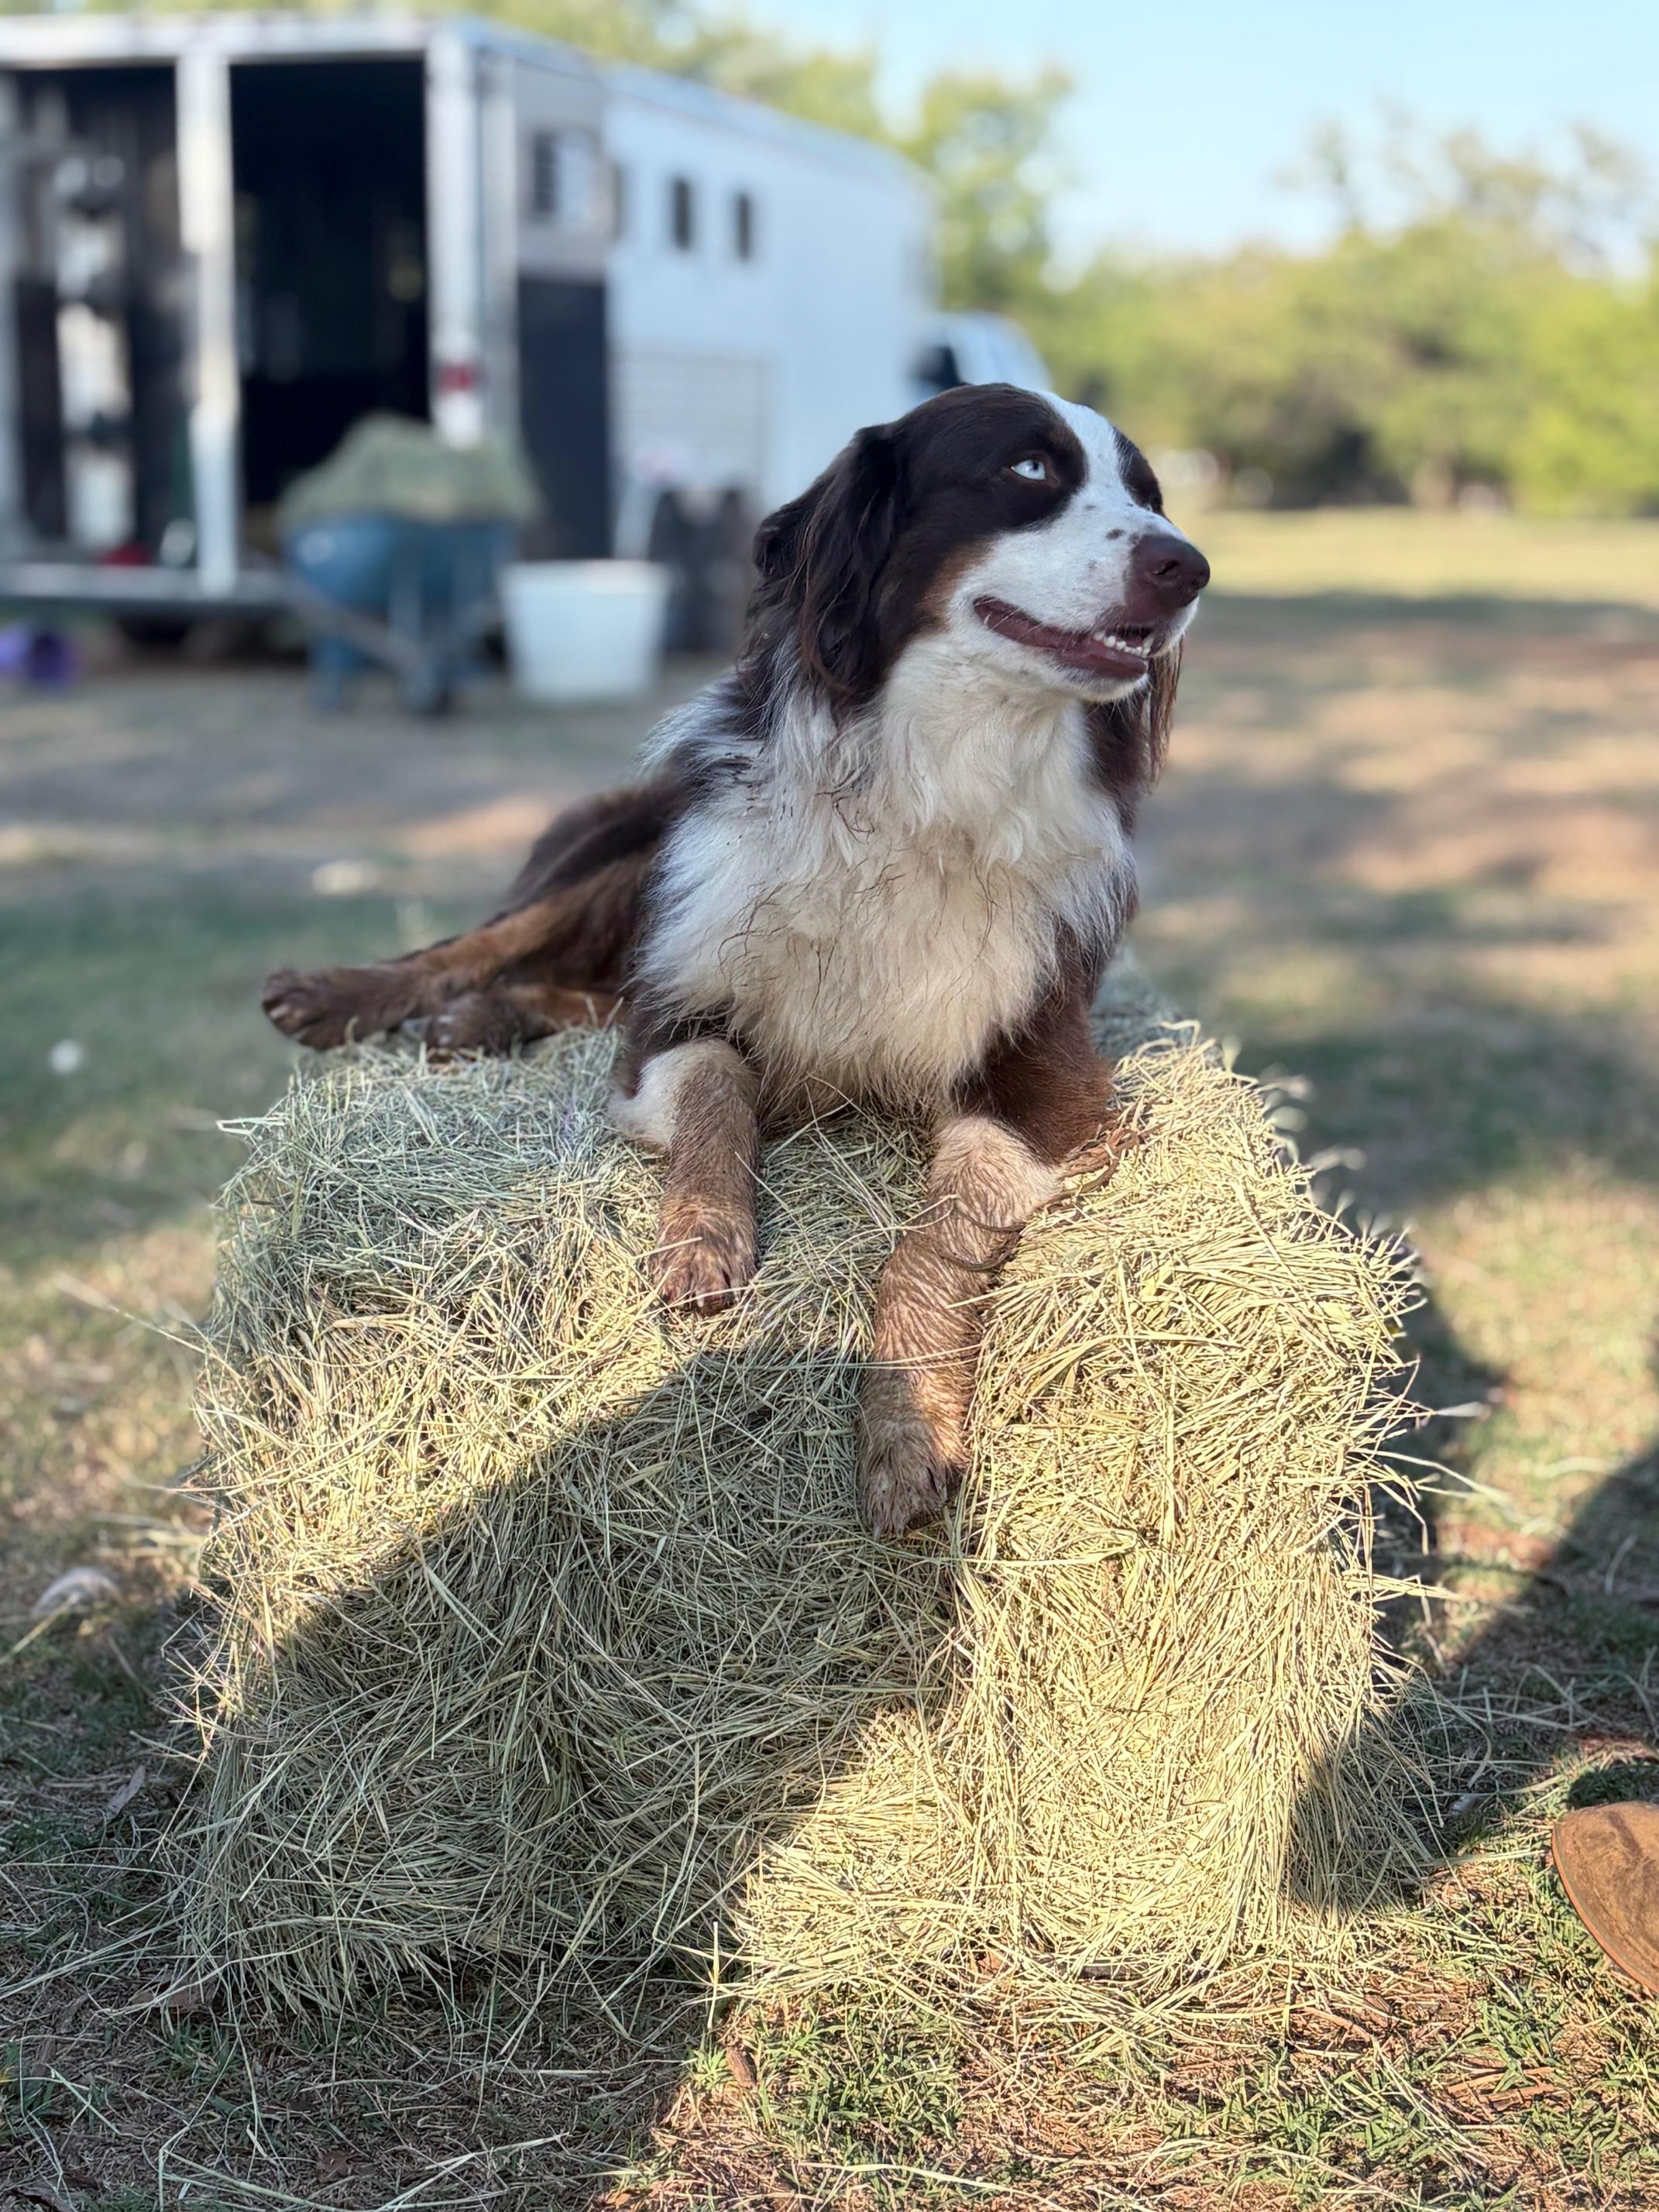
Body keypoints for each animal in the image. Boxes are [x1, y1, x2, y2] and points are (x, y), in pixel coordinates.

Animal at [262, 382, 1210, 1536]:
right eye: (1028, 471)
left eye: (1149, 495)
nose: (1190, 567)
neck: (927, 789)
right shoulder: (682, 1009)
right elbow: (718, 1088)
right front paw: (702, 1237)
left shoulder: (1050, 1081)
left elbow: (929, 1246)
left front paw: (904, 1428)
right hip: (638, 844)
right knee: (485, 944)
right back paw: (343, 995)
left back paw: (478, 1020)